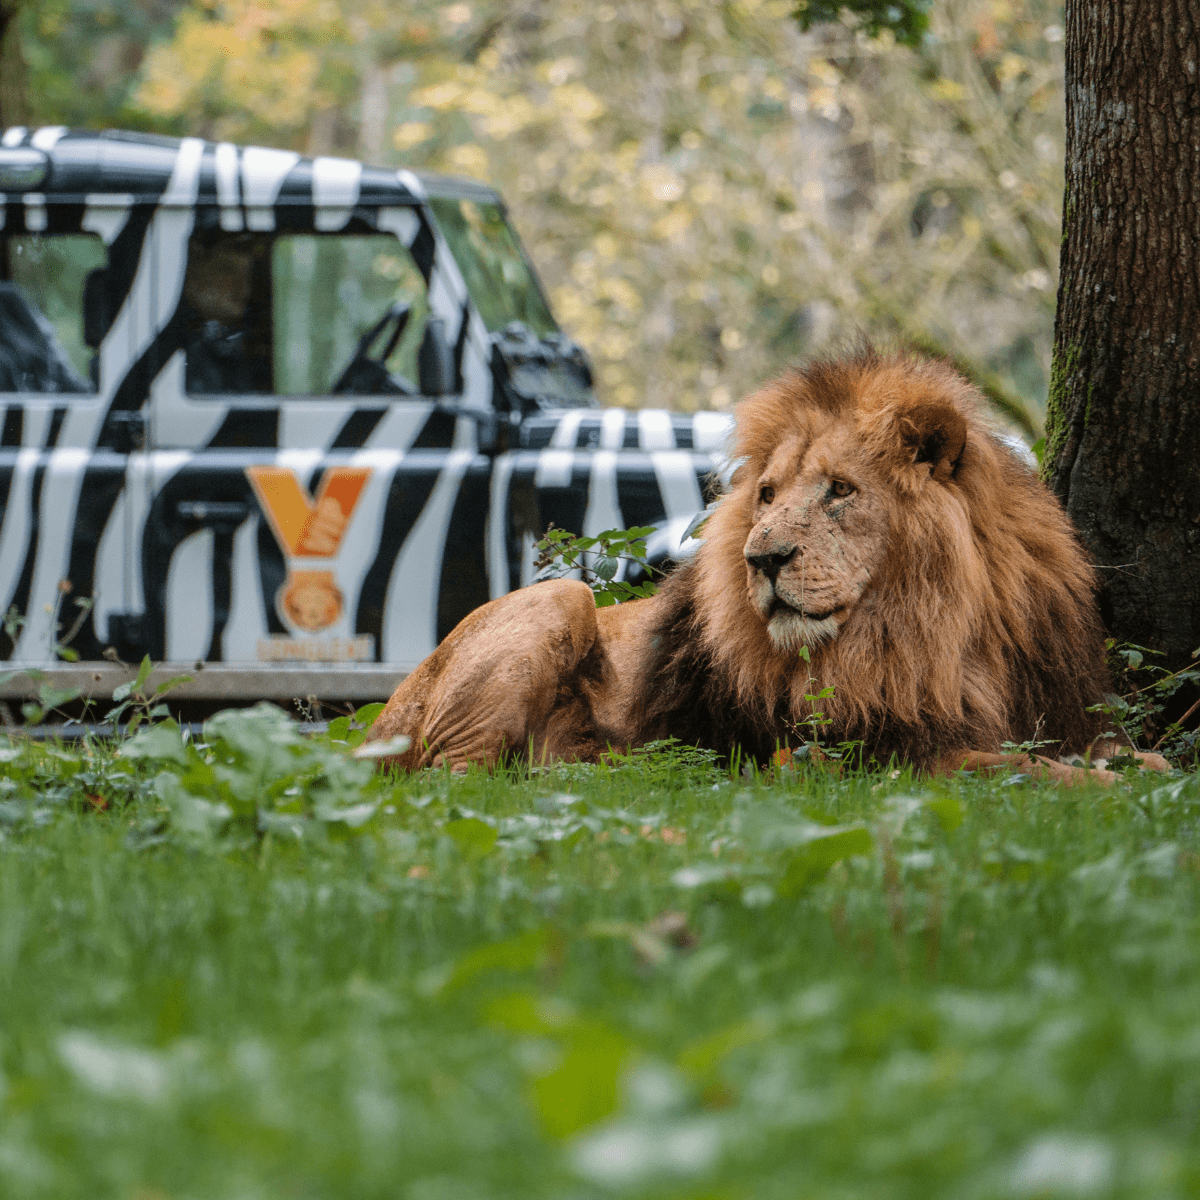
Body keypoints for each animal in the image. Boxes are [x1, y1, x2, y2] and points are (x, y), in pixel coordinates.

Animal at [366, 349, 1167, 785]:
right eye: (768, 496)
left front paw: (1148, 775)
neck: (938, 626)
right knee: (454, 784)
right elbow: (1019, 767)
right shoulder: (883, 754)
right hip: (555, 601)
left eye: (840, 490)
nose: (762, 557)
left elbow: (1134, 758)